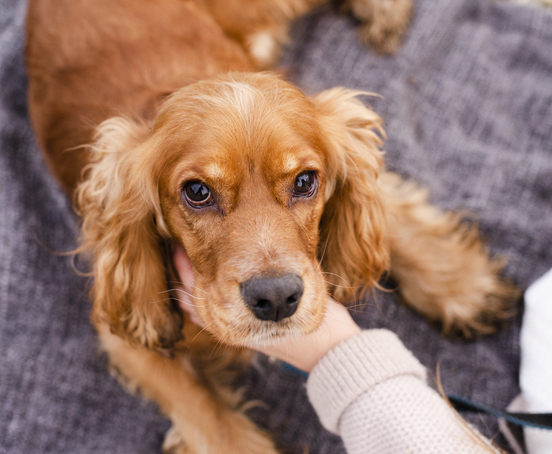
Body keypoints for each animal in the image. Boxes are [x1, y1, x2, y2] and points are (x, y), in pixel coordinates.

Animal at [25, 1, 516, 452]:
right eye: (197, 192)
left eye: (305, 181)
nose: (277, 298)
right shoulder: (127, 335)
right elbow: (211, 419)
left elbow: (386, 210)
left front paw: (460, 282)